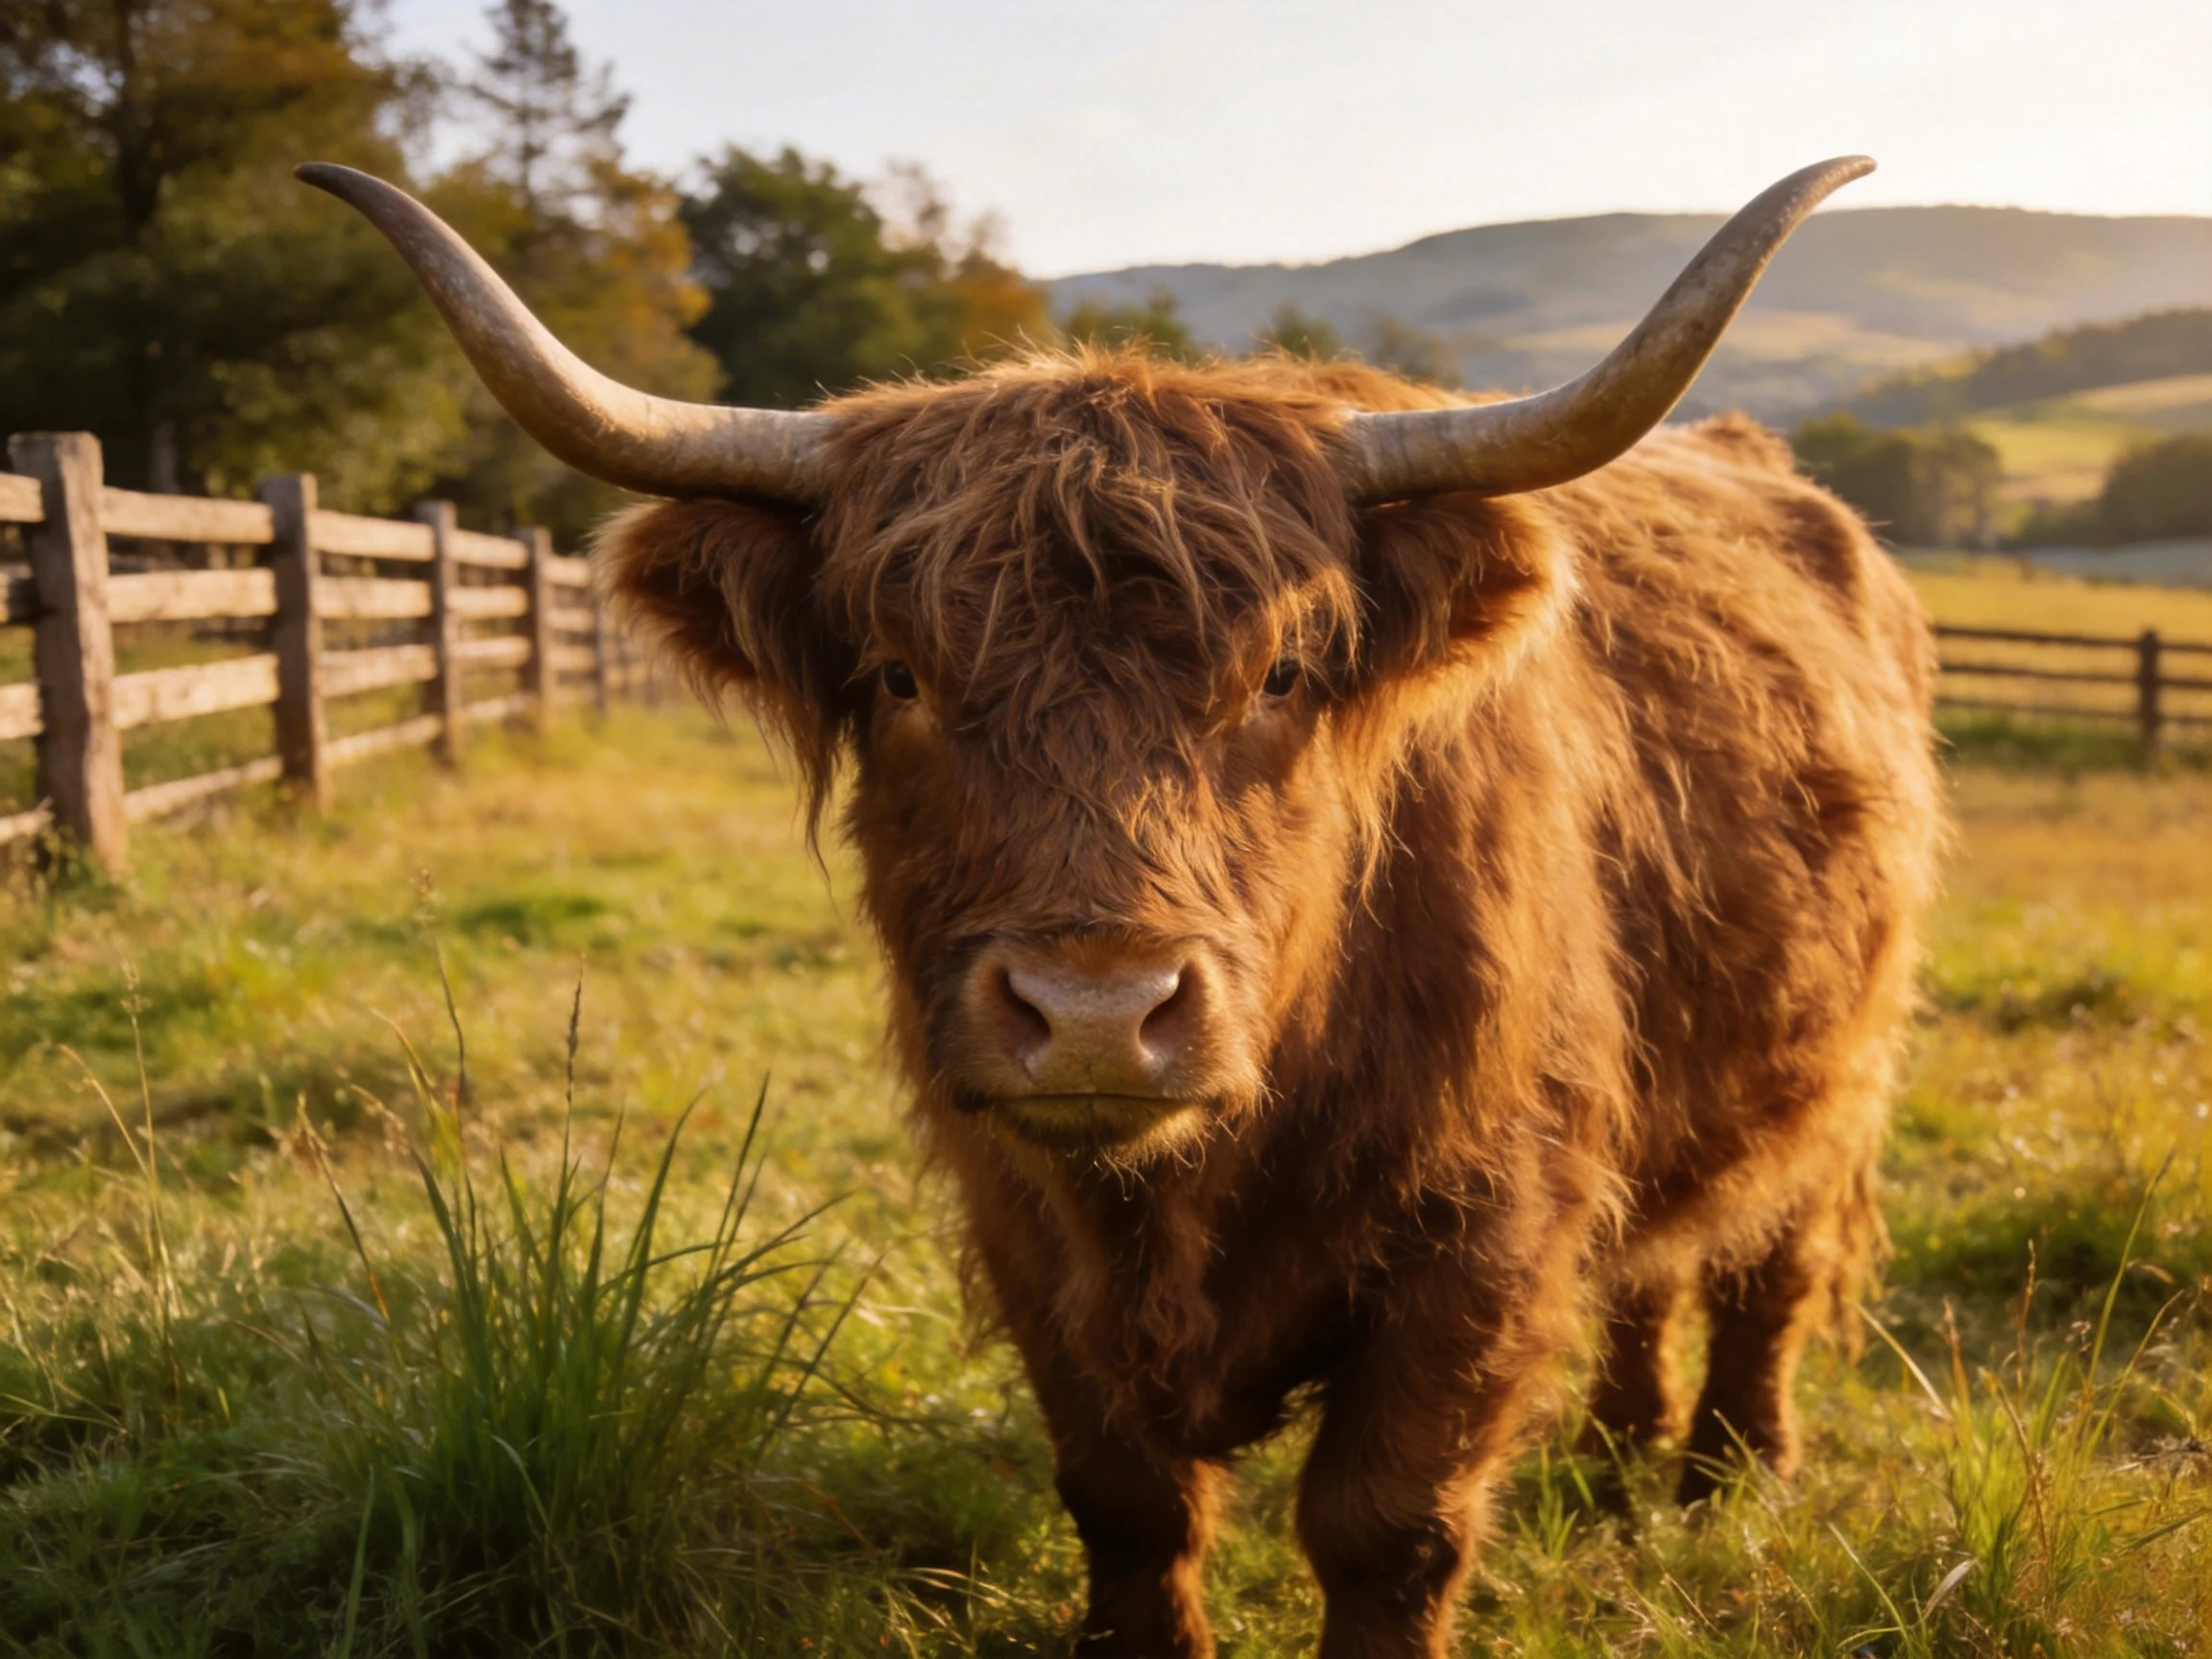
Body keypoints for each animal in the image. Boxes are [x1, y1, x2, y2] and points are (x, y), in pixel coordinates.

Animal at [303, 156, 1943, 1659]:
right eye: (898, 673)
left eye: (1283, 671)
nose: (1097, 1014)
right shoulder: (1023, 1216)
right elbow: (1126, 1500)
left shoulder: (1485, 1217)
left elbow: (1385, 1524)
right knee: (1656, 1269)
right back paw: (1613, 1460)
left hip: (1845, 1072)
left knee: (1770, 1269)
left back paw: (1731, 1481)